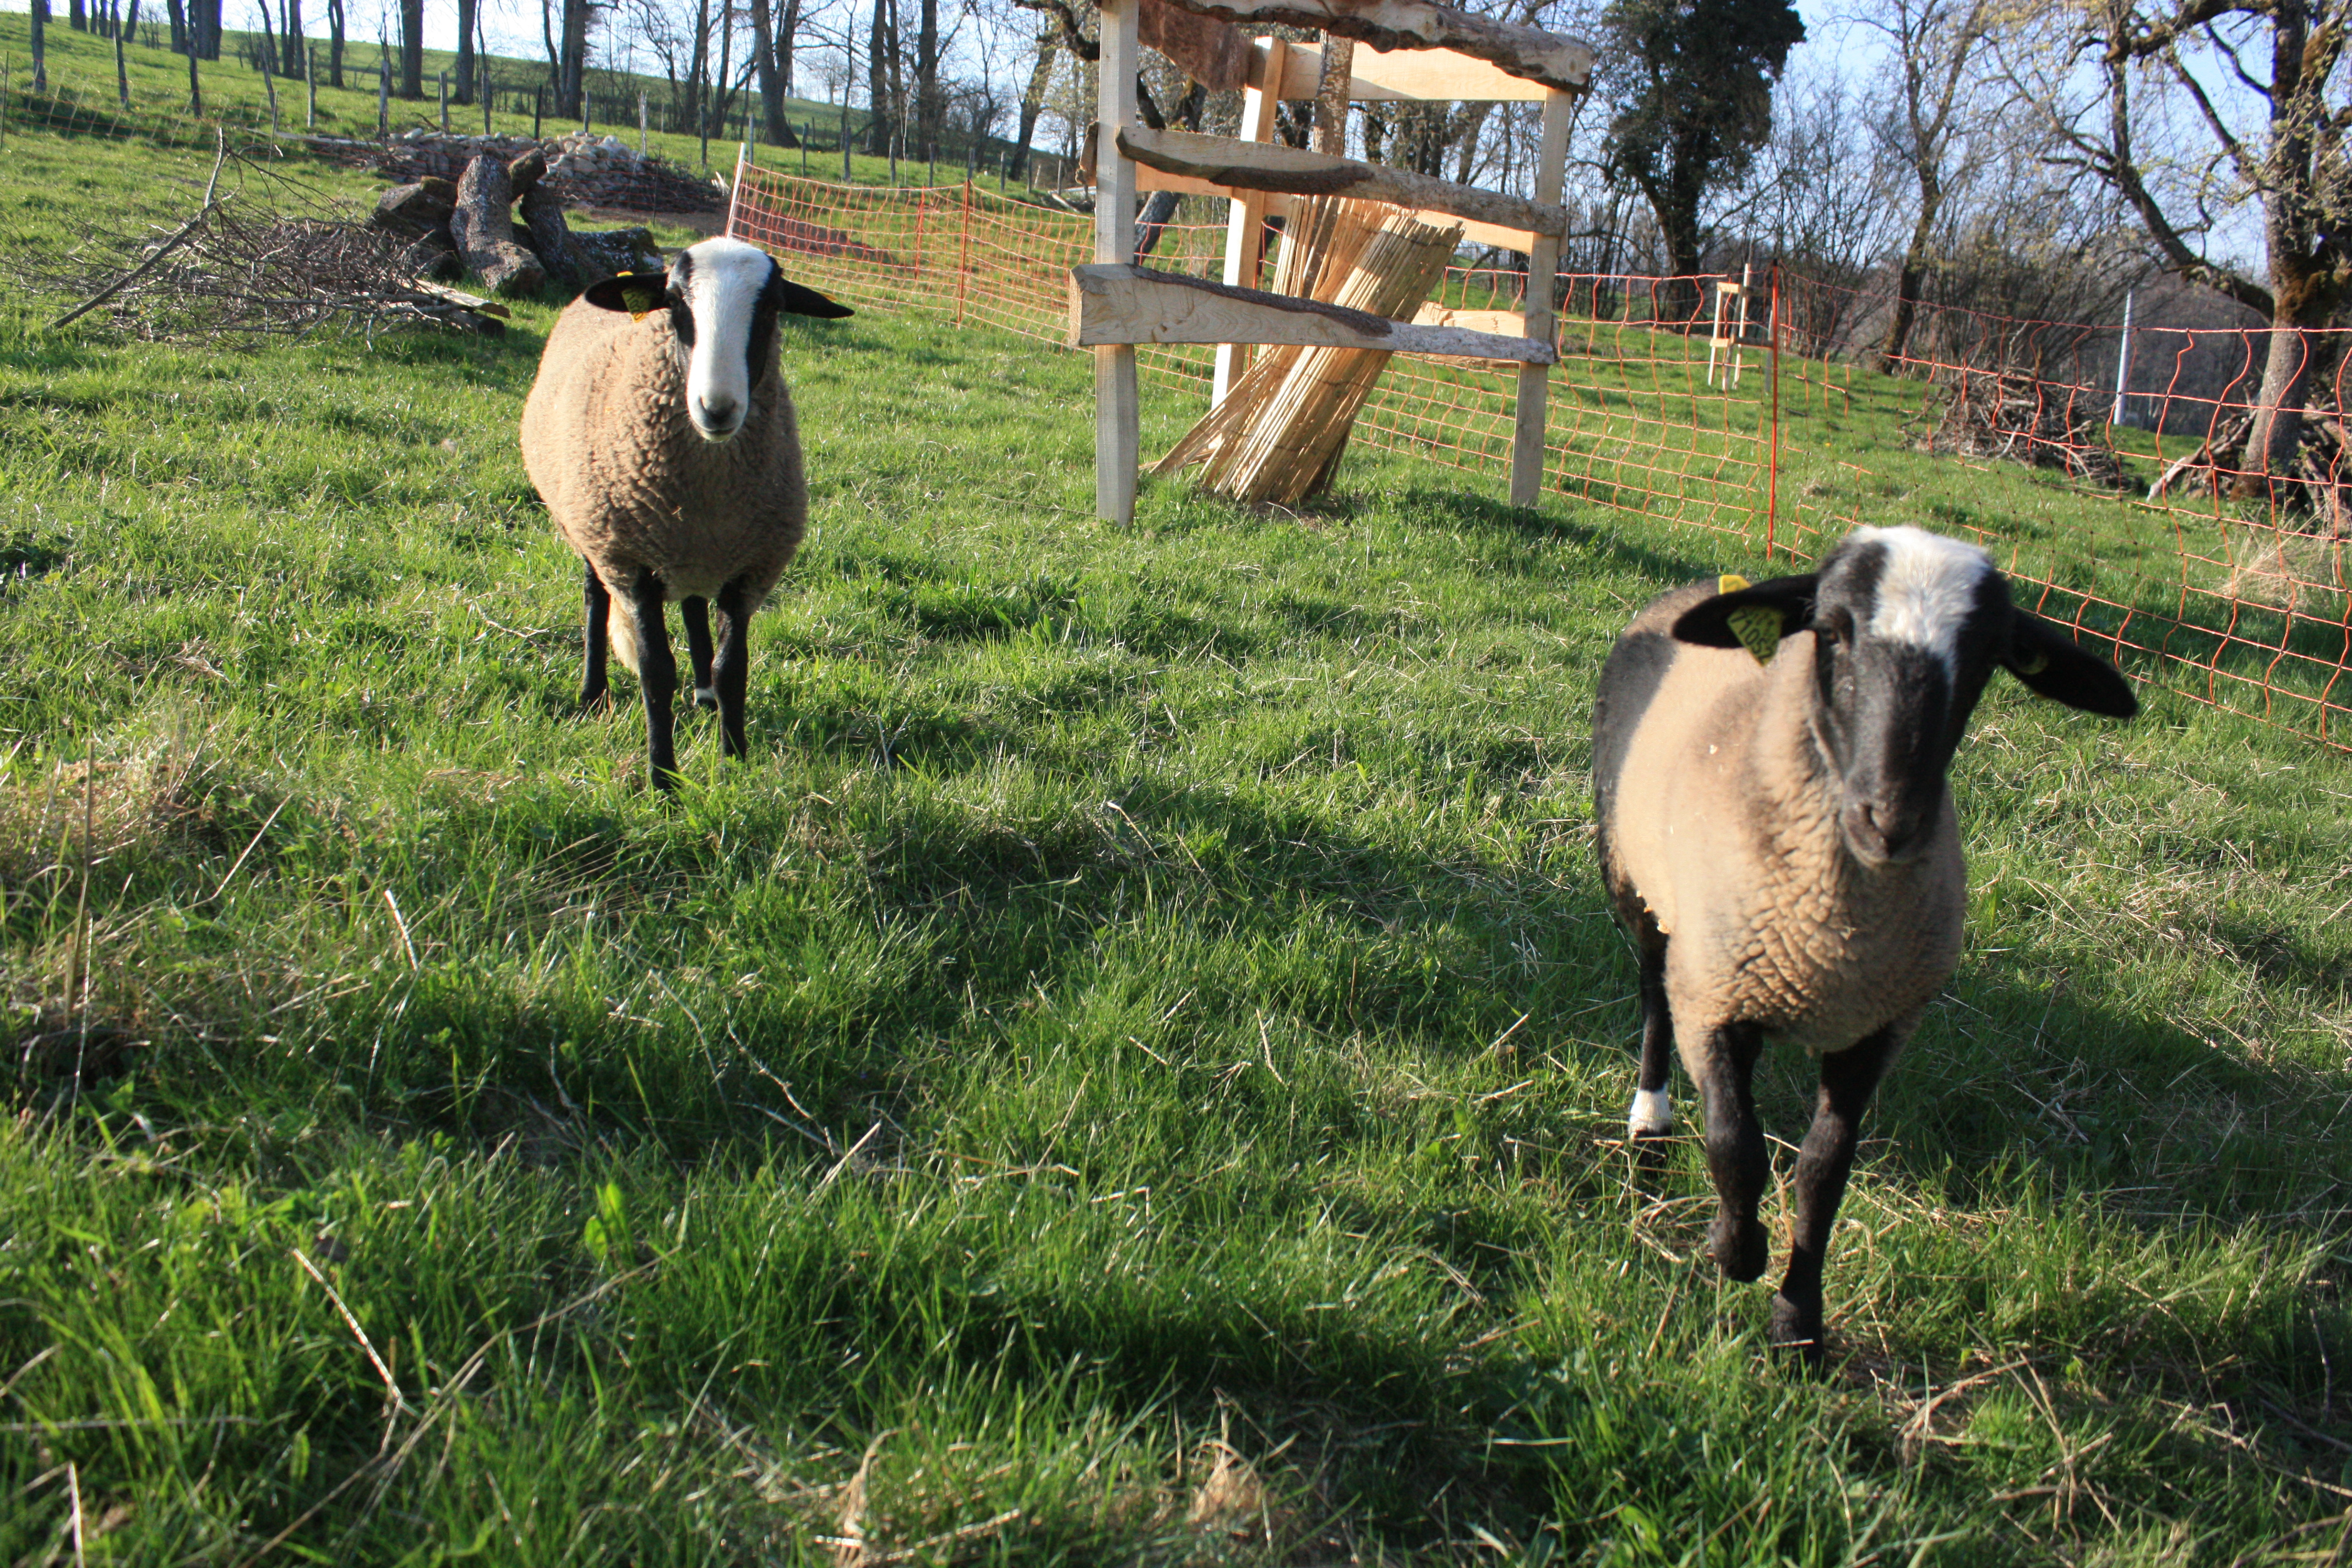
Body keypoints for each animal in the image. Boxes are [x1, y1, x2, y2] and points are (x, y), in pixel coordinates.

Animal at [1589, 526, 2145, 1363]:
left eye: (1990, 656)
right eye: (1832, 631)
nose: (1892, 819)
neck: (1831, 935)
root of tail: (1696, 587)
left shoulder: (1879, 1028)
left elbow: (1823, 1173)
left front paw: (1798, 1327)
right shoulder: (1715, 993)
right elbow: (1734, 1143)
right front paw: (1735, 1252)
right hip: (1637, 881)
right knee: (1654, 989)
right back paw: (1650, 1115)